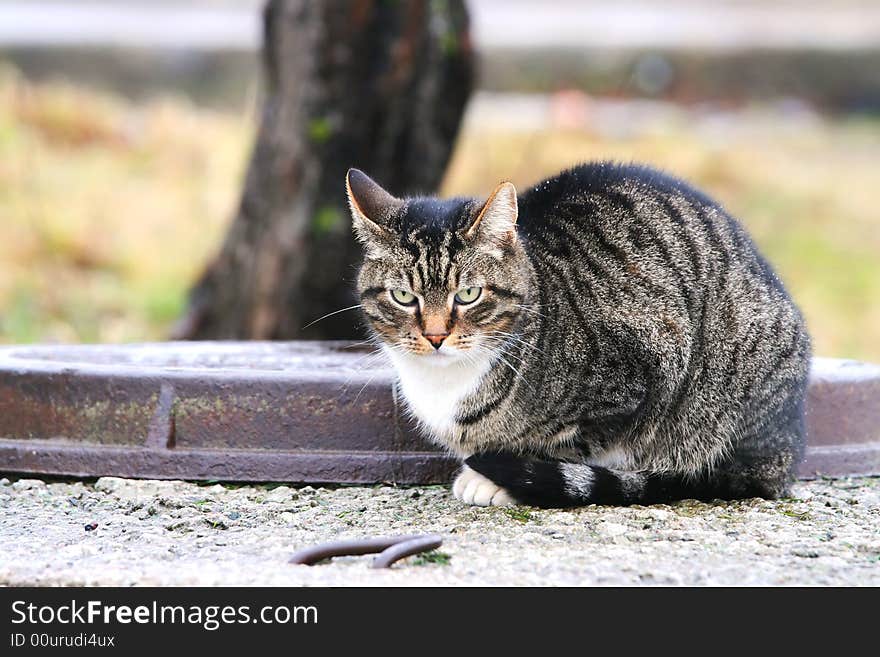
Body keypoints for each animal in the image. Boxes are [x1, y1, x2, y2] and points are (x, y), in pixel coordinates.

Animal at [344, 163, 812, 508]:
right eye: (404, 296)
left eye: (468, 294)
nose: (436, 335)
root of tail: (787, 452)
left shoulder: (638, 376)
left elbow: (567, 446)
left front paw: (494, 480)